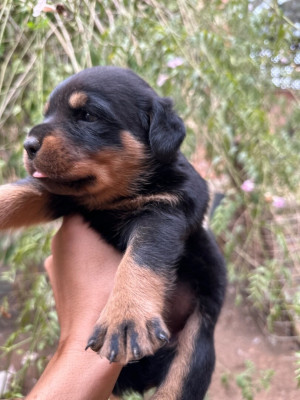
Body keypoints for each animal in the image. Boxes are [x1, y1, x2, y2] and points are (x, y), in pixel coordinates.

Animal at [0, 67, 225, 398]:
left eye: (88, 115)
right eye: (48, 113)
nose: (28, 144)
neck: (113, 197)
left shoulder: (166, 209)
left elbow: (143, 256)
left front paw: (126, 315)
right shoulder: (62, 195)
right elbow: (20, 192)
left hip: (197, 345)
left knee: (178, 383)